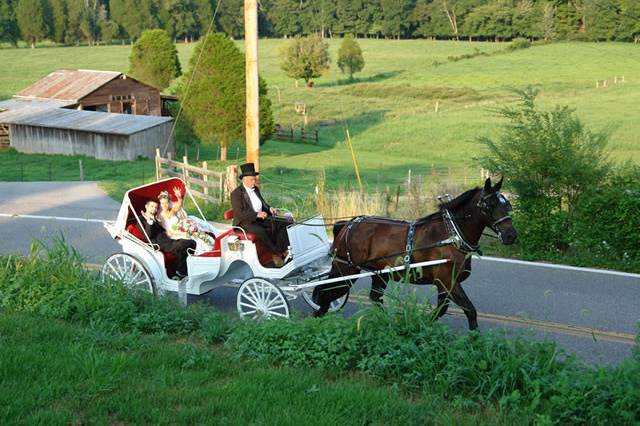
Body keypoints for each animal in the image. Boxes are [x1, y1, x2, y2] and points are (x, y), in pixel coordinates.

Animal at [312, 176, 516, 330]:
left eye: (507, 205)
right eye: (489, 205)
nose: (511, 235)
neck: (451, 235)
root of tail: (347, 224)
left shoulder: (445, 286)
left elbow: (441, 310)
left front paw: (422, 326)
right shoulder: (448, 282)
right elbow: (470, 310)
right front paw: (475, 340)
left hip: (379, 274)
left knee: (373, 297)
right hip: (346, 269)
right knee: (325, 292)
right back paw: (317, 316)